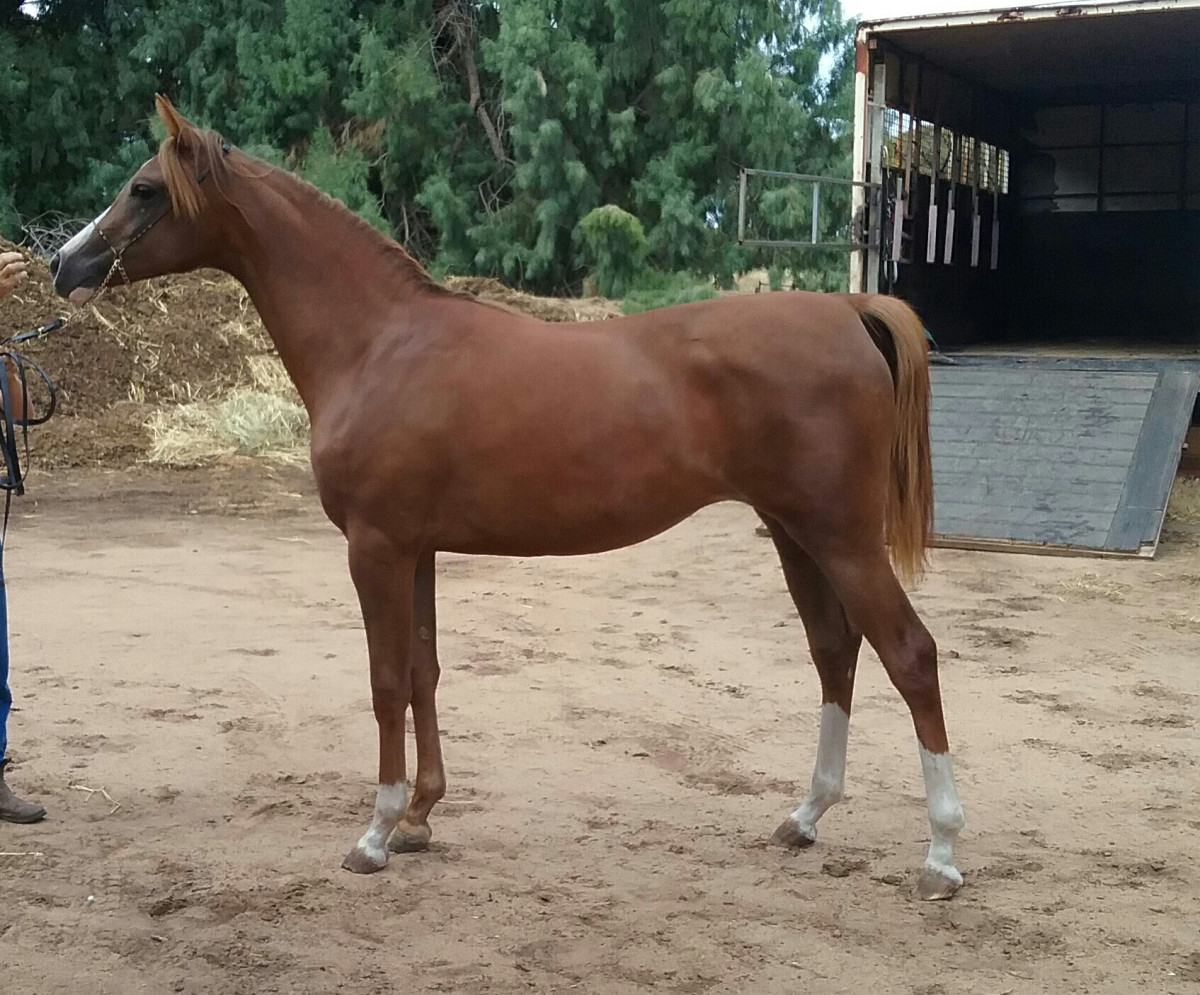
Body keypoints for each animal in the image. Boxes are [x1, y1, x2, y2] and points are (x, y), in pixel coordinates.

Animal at [50, 95, 965, 900]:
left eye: (145, 188)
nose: (65, 264)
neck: (377, 342)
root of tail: (849, 308)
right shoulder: (414, 547)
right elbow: (422, 671)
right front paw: (420, 817)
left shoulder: (374, 547)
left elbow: (384, 679)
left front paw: (374, 834)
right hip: (793, 533)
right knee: (835, 653)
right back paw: (804, 816)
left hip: (842, 537)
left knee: (909, 655)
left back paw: (942, 856)